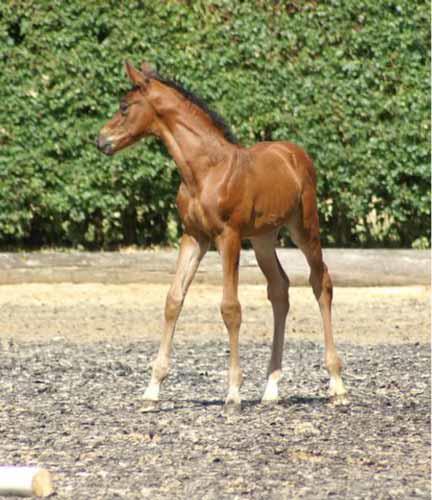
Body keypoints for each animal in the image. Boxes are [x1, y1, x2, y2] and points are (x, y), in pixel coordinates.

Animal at [98, 61, 348, 414]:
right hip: (263, 237)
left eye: (124, 107)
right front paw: (152, 390)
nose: (101, 140)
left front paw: (233, 393)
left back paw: (336, 383)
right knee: (279, 289)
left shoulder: (227, 237)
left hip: (304, 226)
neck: (205, 171)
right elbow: (173, 300)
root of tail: (294, 152)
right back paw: (271, 388)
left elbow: (230, 308)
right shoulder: (194, 237)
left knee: (320, 281)